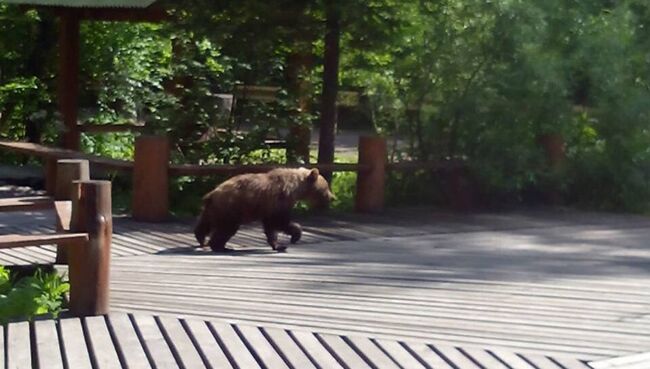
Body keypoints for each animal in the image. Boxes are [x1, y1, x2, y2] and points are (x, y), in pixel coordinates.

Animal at [192, 167, 334, 250]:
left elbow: (270, 226)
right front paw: (294, 236)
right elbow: (280, 222)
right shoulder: (279, 200)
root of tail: (212, 193)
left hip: (214, 209)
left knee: (205, 223)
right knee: (226, 228)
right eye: (326, 187)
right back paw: (220, 246)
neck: (295, 189)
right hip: (230, 208)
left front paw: (277, 244)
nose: (332, 197)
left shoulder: (269, 207)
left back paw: (201, 238)